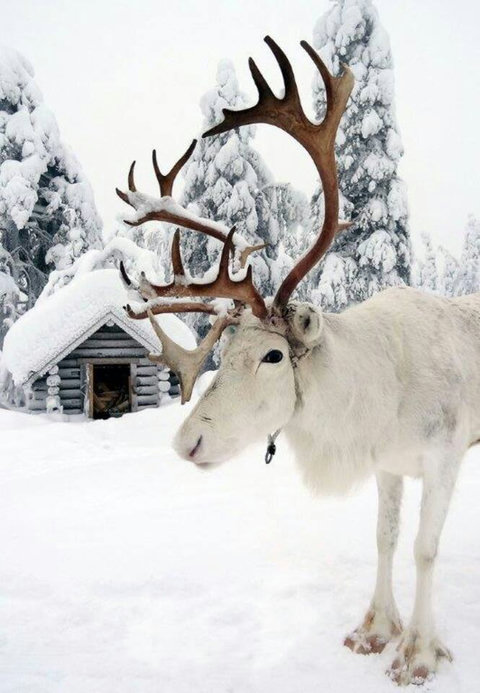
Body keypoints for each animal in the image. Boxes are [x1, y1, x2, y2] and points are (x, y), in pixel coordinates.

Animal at [116, 37, 480, 686]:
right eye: (223, 350)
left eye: (272, 354)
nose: (186, 442)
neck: (376, 394)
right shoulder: (388, 464)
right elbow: (385, 538)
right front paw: (373, 631)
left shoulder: (444, 456)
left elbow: (424, 548)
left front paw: (417, 653)